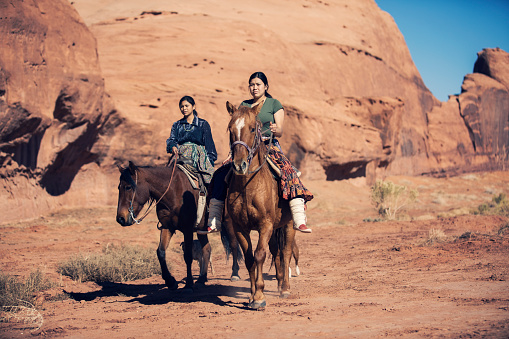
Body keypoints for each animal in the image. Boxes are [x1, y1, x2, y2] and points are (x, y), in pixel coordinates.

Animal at [116, 161, 213, 290]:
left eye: (128, 187)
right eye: (119, 187)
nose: (120, 218)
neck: (174, 191)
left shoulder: (187, 229)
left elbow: (187, 255)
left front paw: (188, 285)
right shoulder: (167, 227)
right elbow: (160, 252)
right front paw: (170, 281)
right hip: (201, 230)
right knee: (207, 249)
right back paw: (202, 279)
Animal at [225, 101, 296, 310]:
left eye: (251, 128)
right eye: (230, 129)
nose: (239, 164)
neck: (248, 187)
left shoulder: (265, 224)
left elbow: (259, 255)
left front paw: (259, 296)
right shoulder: (240, 227)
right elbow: (249, 258)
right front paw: (251, 296)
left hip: (288, 225)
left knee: (286, 252)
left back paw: (285, 289)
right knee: (276, 251)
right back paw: (279, 284)